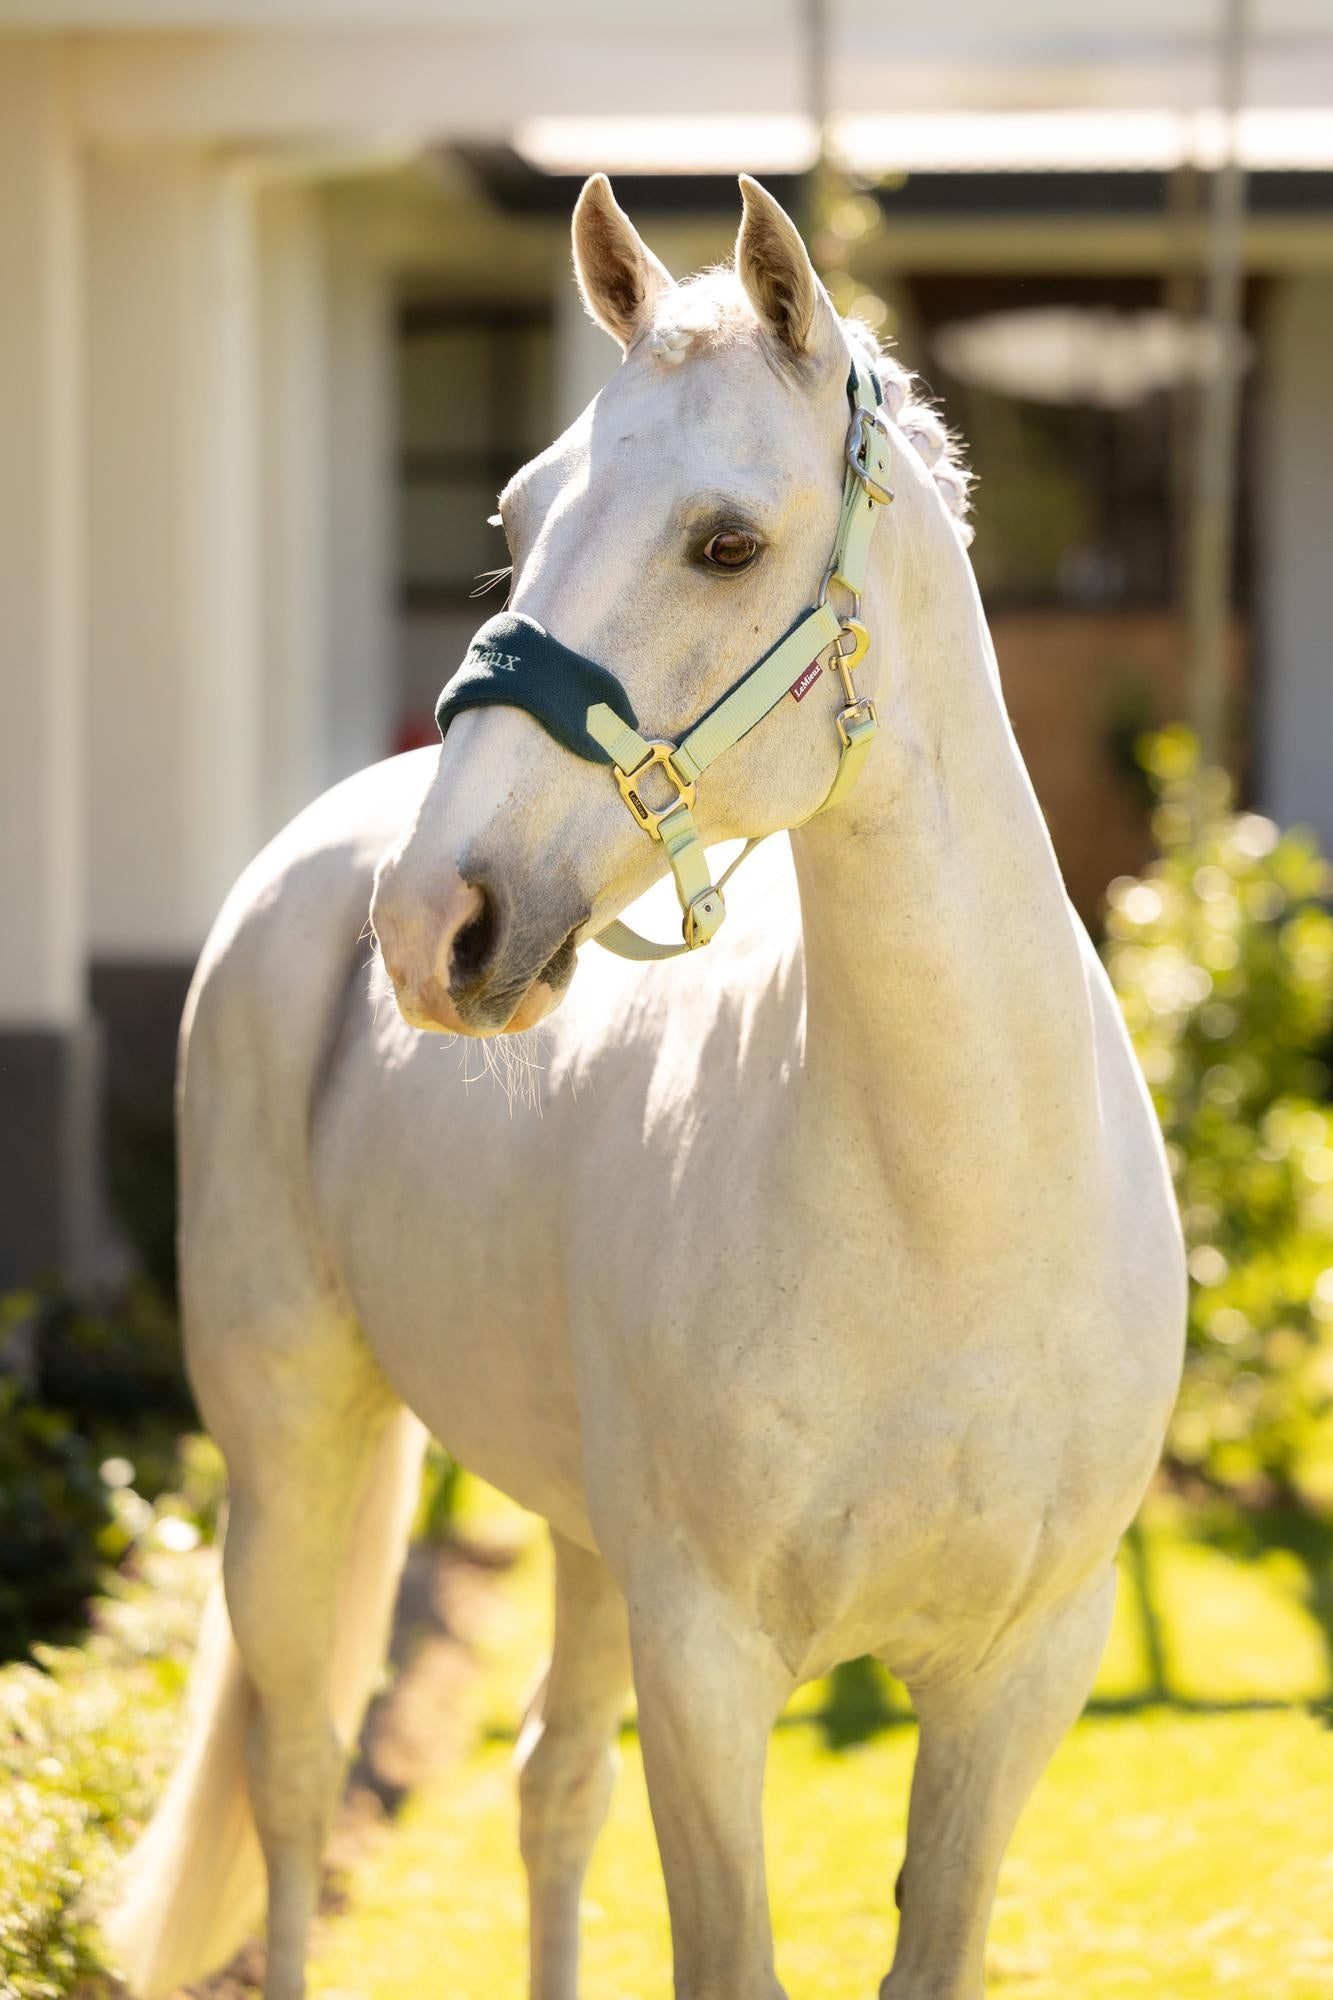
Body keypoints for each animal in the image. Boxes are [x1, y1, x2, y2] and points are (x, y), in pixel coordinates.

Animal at [104, 175, 1185, 2000]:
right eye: (518, 508)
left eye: (724, 540)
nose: (433, 925)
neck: (951, 1214)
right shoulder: (708, 1666)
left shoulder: (1019, 1674)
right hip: (292, 1451)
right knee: (299, 1776)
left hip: (580, 1534)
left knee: (547, 1786)